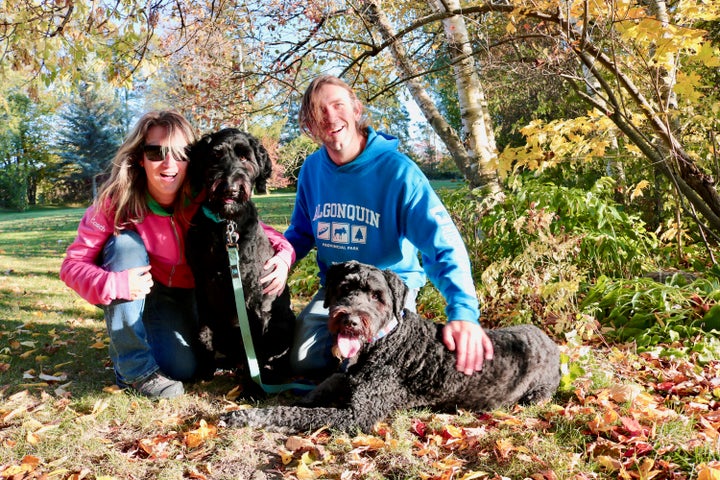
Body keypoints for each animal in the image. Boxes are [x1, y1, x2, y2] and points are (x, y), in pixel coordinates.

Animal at [187, 127, 296, 386]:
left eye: (245, 157)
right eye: (215, 155)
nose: (230, 189)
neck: (225, 226)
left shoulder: (254, 300)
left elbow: (254, 348)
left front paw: (252, 387)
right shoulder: (202, 292)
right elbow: (203, 333)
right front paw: (204, 370)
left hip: (284, 321)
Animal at [221, 260, 564, 434]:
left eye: (378, 297)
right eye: (345, 288)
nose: (350, 321)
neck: (386, 341)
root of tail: (551, 342)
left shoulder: (358, 414)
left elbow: (296, 414)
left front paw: (248, 417)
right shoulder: (346, 378)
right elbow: (314, 392)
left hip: (535, 396)